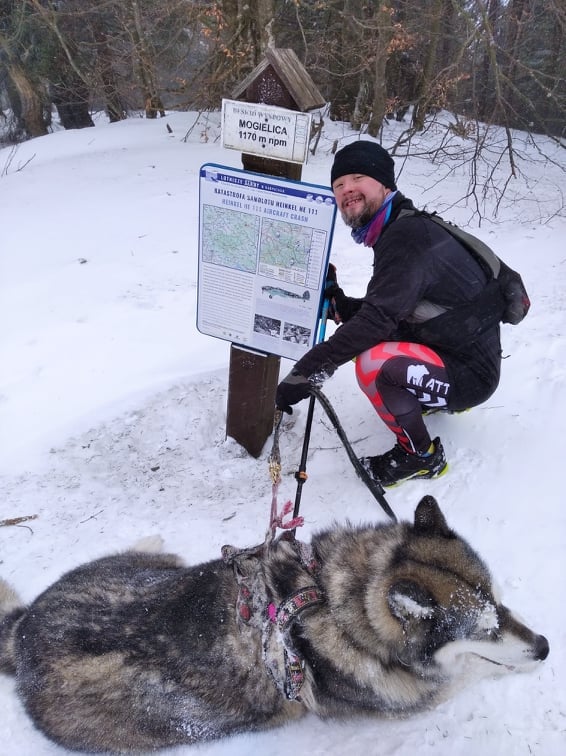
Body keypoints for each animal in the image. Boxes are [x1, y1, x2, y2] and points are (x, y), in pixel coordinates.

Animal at [0, 496, 552, 752]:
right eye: (482, 629)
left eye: (499, 603)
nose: (546, 646)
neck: (334, 602)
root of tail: (22, 632)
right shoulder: (410, 696)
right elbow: (467, 672)